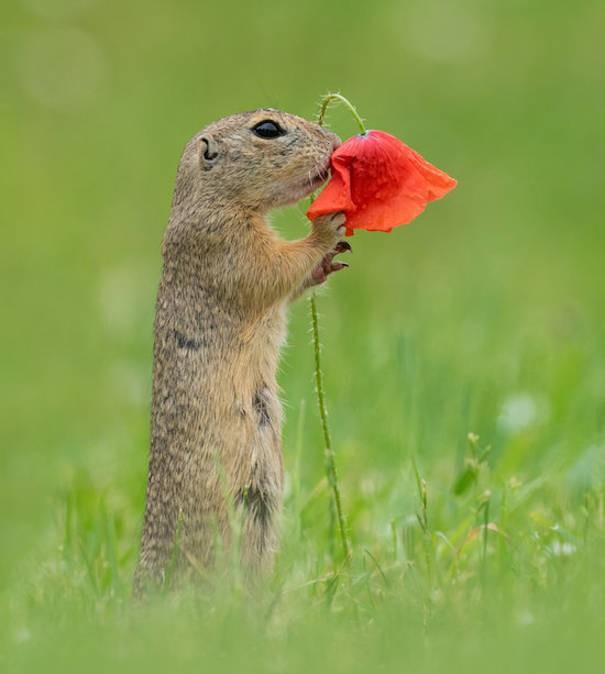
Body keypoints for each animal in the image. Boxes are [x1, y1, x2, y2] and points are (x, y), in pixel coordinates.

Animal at [134, 109, 350, 593]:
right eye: (267, 129)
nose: (335, 142)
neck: (213, 200)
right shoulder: (226, 244)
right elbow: (274, 268)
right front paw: (328, 227)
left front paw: (329, 261)